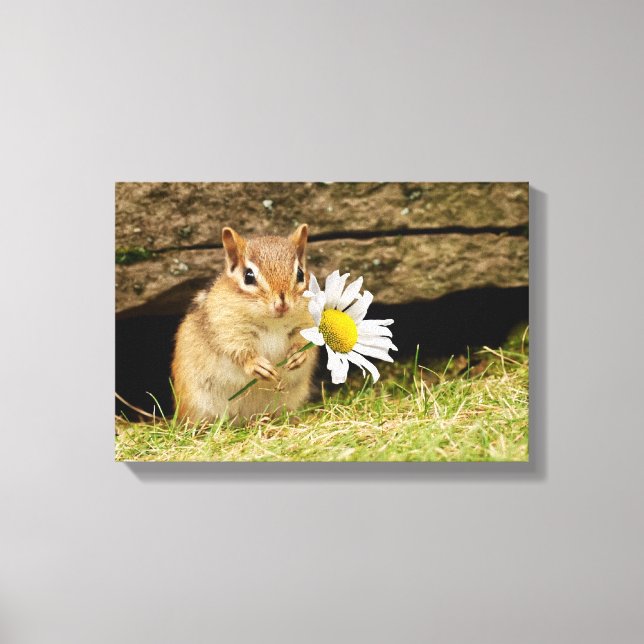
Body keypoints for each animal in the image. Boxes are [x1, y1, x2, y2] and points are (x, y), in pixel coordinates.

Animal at [171, 224, 319, 424]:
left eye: (300, 274)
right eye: (248, 276)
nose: (282, 304)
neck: (273, 323)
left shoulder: (306, 323)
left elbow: (306, 344)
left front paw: (298, 356)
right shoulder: (228, 328)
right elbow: (239, 351)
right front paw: (257, 365)